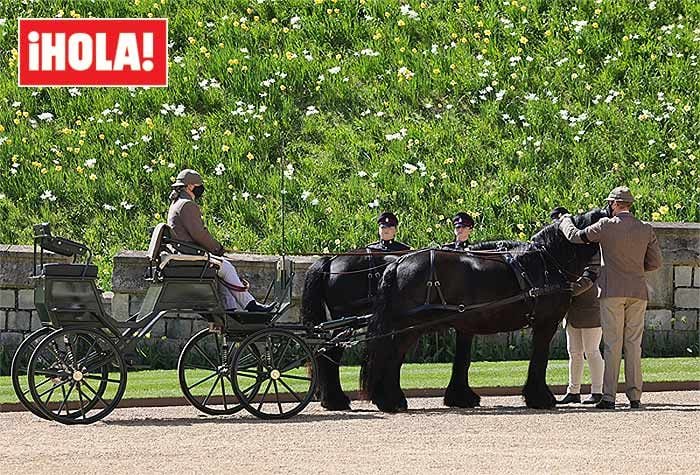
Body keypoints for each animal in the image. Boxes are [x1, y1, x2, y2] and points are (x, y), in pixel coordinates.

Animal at [360, 209, 608, 412]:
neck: (546, 260)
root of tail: (398, 262)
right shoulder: (545, 323)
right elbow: (540, 358)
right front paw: (540, 397)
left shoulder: (466, 325)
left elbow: (463, 360)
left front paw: (461, 397)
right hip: (409, 328)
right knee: (392, 358)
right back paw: (392, 401)